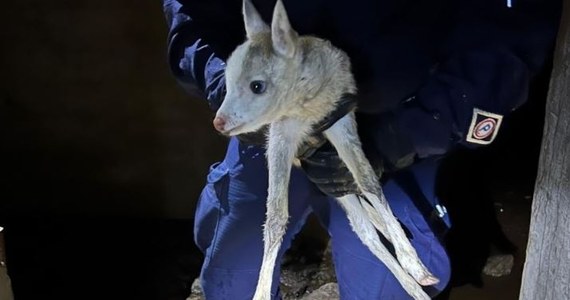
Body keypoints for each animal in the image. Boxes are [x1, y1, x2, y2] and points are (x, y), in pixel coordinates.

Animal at [211, 1, 438, 298]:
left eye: (257, 86)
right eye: (226, 82)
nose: (218, 122)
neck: (304, 108)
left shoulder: (340, 118)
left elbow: (369, 182)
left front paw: (414, 262)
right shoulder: (281, 135)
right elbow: (275, 217)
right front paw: (260, 292)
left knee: (363, 216)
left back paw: (416, 276)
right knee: (364, 229)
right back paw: (413, 284)